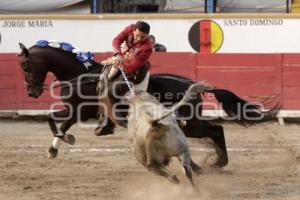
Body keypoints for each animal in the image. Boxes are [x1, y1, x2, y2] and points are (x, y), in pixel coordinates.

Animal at [17, 42, 280, 167]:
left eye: (25, 66)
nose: (32, 92)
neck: (81, 75)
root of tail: (195, 85)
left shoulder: (78, 111)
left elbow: (55, 122)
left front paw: (61, 144)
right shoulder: (74, 112)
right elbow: (55, 122)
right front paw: (54, 149)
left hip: (190, 124)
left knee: (216, 129)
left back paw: (218, 163)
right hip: (189, 123)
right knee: (216, 130)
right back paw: (216, 163)